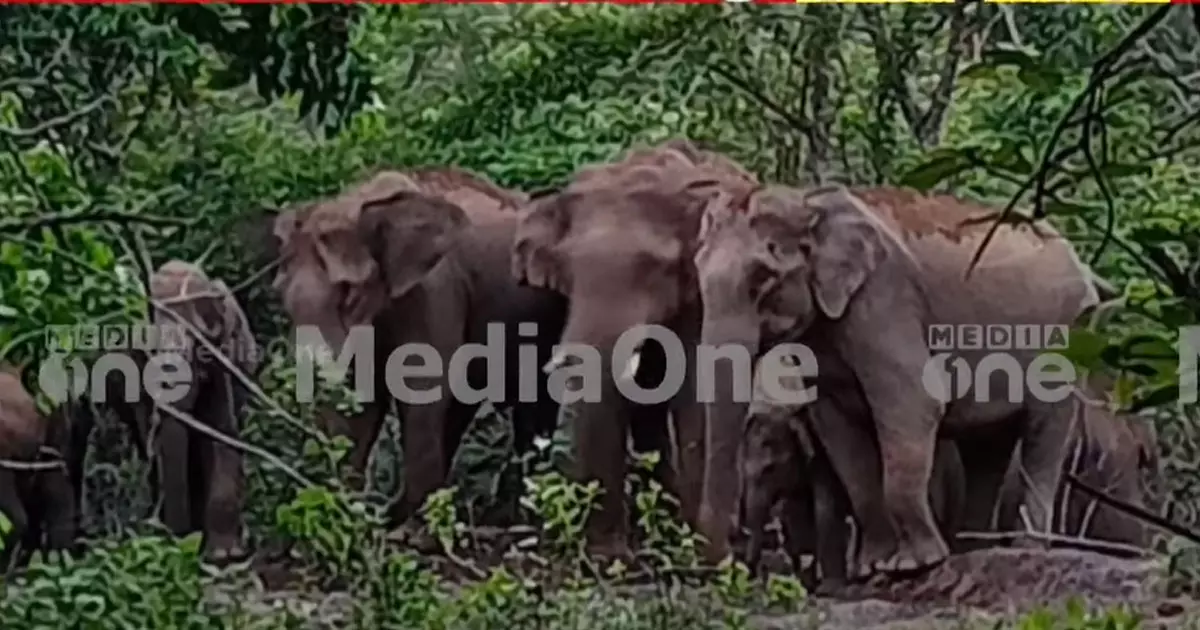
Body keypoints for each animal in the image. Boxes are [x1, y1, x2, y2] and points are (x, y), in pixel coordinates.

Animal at [146, 260, 259, 562]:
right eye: (151, 349)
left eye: (195, 343)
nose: (177, 540)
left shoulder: (223, 355)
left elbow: (221, 431)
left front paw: (224, 554)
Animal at [263, 167, 568, 528]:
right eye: (281, 295)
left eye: (348, 293)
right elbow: (364, 399)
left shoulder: (435, 289)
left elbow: (422, 392)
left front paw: (406, 525)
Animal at [738, 356, 965, 589]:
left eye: (770, 469)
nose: (750, 577)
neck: (788, 410)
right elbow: (796, 514)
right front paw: (810, 583)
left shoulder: (822, 459)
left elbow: (824, 508)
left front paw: (828, 587)